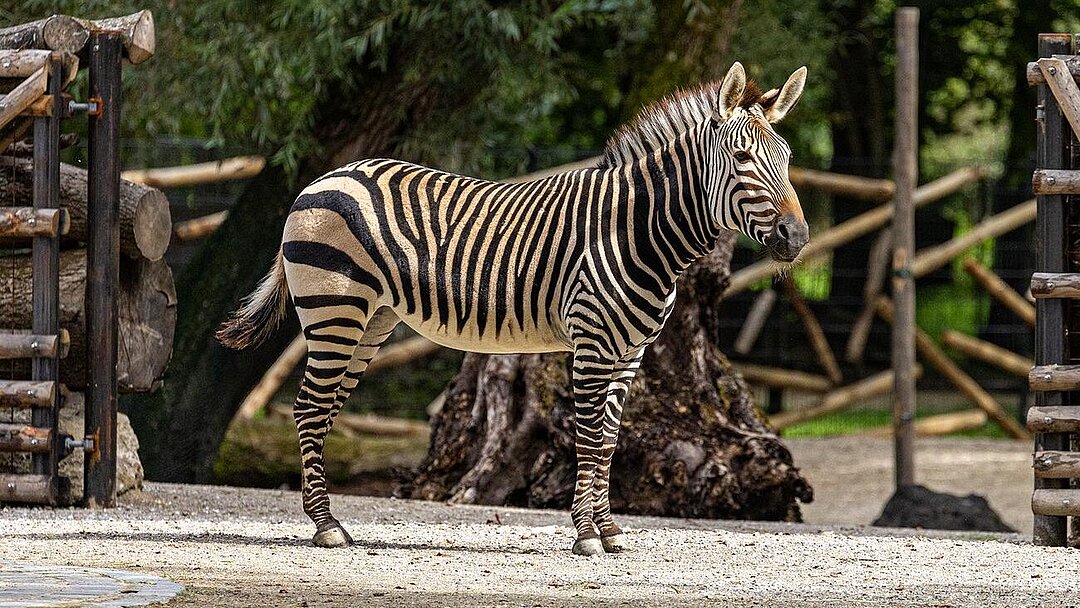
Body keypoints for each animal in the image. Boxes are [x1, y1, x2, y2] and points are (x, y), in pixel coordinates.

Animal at [219, 61, 807, 557]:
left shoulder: (630, 353)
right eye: (742, 160)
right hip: (334, 310)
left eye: (786, 159)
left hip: (371, 321)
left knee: (322, 410)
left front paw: (610, 530)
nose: (797, 236)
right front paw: (586, 536)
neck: (636, 231)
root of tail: (324, 177)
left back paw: (329, 522)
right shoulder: (592, 345)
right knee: (308, 408)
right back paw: (326, 528)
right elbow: (587, 437)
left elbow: (610, 441)